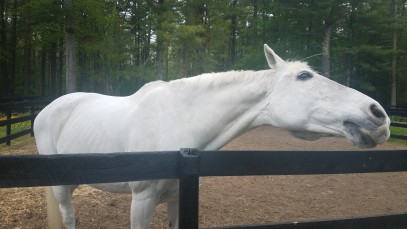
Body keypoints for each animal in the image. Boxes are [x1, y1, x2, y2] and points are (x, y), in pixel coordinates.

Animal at [33, 43, 390, 228]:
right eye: (304, 76)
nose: (378, 115)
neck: (178, 124)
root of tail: (46, 109)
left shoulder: (177, 197)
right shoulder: (142, 200)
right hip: (60, 185)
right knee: (68, 216)